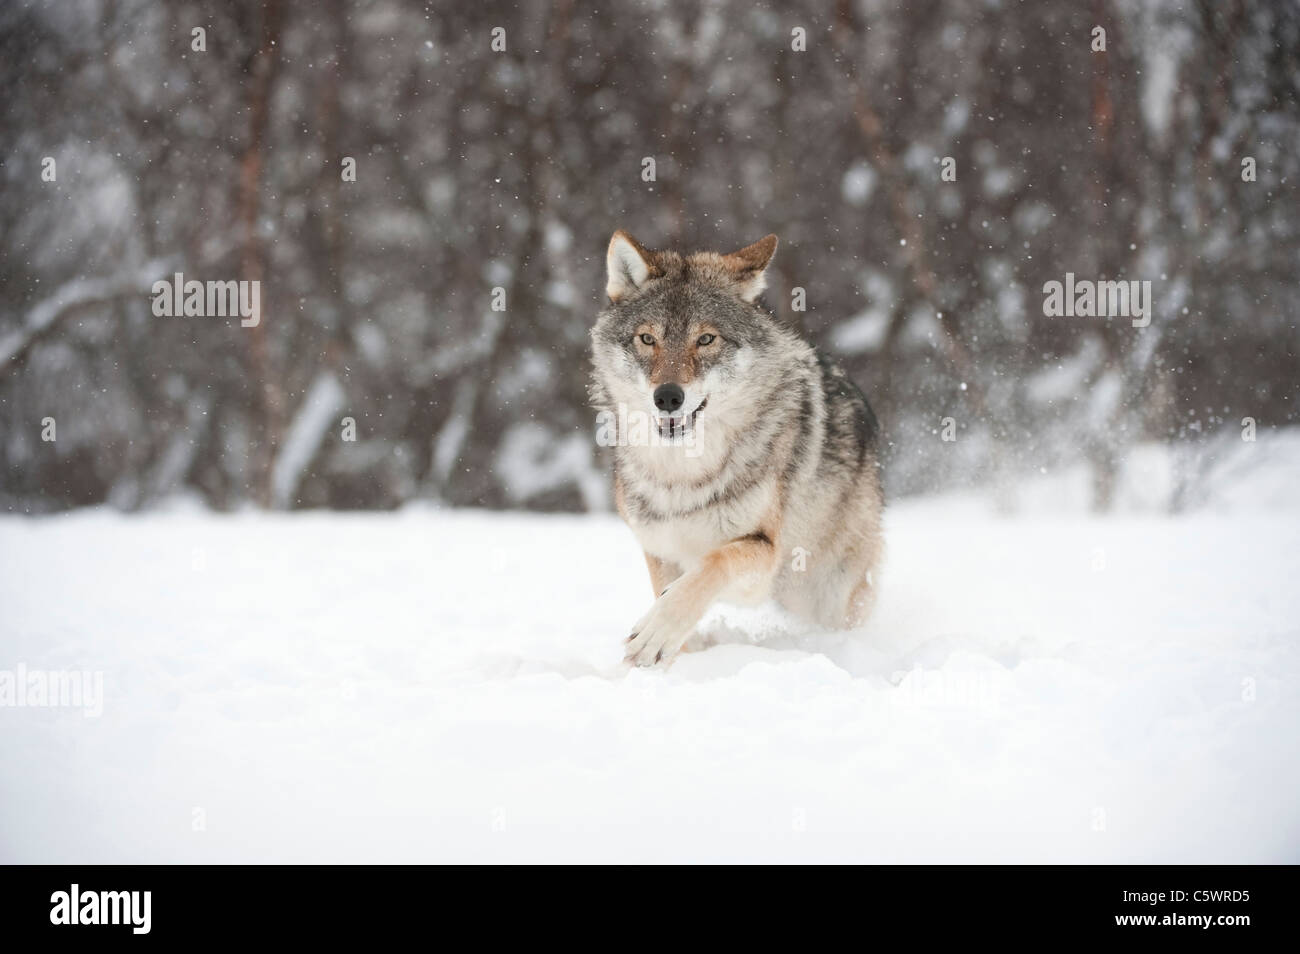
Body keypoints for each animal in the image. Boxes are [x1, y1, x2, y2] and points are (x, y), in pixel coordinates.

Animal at [595, 230, 889, 670]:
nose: (668, 397)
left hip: (821, 592)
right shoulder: (660, 550)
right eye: (647, 338)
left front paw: (658, 631)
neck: (683, 476)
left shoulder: (762, 555)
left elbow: (713, 563)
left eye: (706, 339)